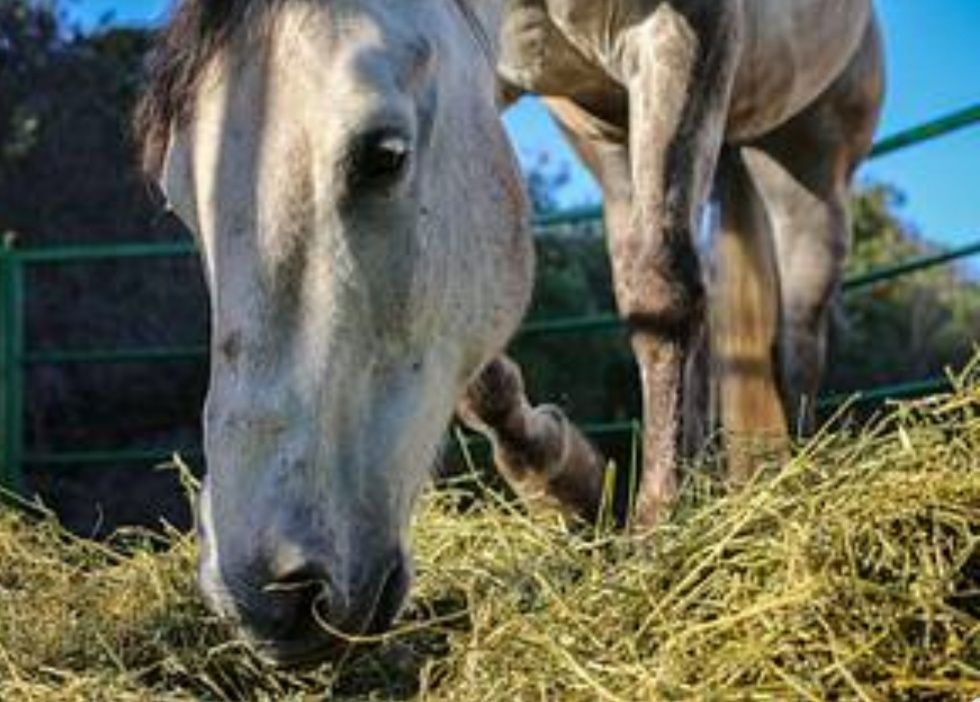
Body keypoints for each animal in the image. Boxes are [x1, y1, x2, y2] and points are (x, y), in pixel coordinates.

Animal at [140, 0, 888, 664]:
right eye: (177, 201)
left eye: (383, 155)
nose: (264, 594)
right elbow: (484, 384)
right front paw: (568, 481)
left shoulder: (690, 31)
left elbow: (659, 296)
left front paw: (655, 534)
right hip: (614, 134)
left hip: (808, 159)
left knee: (795, 336)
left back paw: (787, 474)